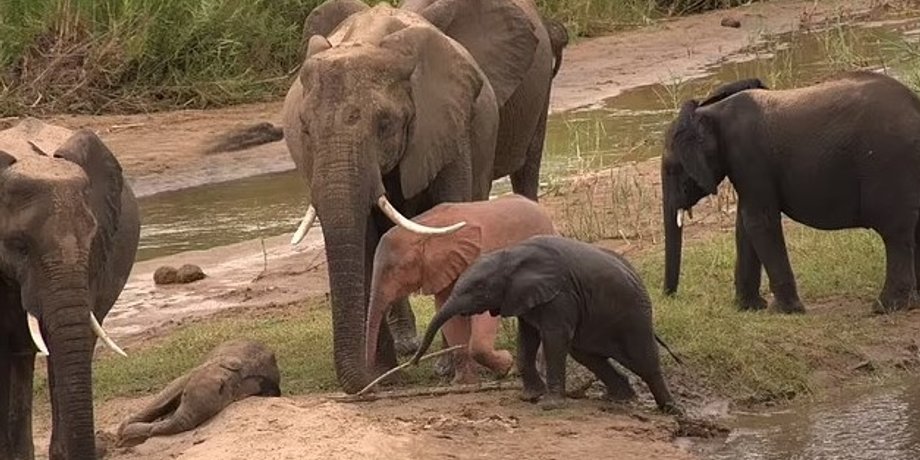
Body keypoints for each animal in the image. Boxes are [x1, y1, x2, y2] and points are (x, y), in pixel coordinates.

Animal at [116, 340, 281, 447]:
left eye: (207, 415)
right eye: (184, 395)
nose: (122, 440)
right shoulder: (195, 371)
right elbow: (168, 392)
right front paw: (122, 431)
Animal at [365, 194, 556, 384]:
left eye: (399, 269)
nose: (413, 361)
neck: (427, 228)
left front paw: (507, 367)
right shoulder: (444, 271)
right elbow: (448, 314)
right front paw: (464, 383)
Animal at [410, 236, 683, 414]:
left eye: (479, 289)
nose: (413, 362)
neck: (510, 254)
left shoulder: (560, 294)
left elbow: (554, 338)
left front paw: (549, 405)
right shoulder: (525, 298)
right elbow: (527, 339)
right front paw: (529, 397)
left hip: (634, 315)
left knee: (644, 361)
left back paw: (670, 410)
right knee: (586, 355)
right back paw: (618, 398)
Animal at [661, 71, 920, 314]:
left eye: (673, 169)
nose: (669, 297)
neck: (711, 112)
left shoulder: (749, 157)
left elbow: (758, 222)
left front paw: (784, 311)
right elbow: (745, 226)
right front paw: (749, 307)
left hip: (888, 163)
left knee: (894, 234)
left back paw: (886, 307)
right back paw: (912, 303)